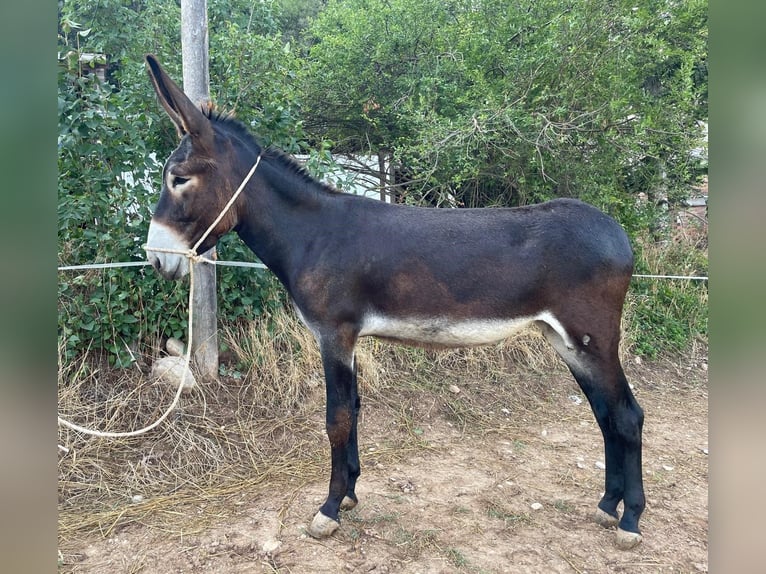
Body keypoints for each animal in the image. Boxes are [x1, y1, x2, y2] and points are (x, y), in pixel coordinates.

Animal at [143, 55, 645, 549]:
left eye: (179, 179)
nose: (155, 259)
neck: (314, 235)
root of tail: (617, 233)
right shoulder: (347, 339)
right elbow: (354, 409)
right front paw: (348, 494)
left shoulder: (334, 334)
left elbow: (337, 418)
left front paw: (328, 510)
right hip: (566, 341)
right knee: (605, 414)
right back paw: (607, 506)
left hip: (593, 338)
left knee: (627, 415)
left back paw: (630, 521)